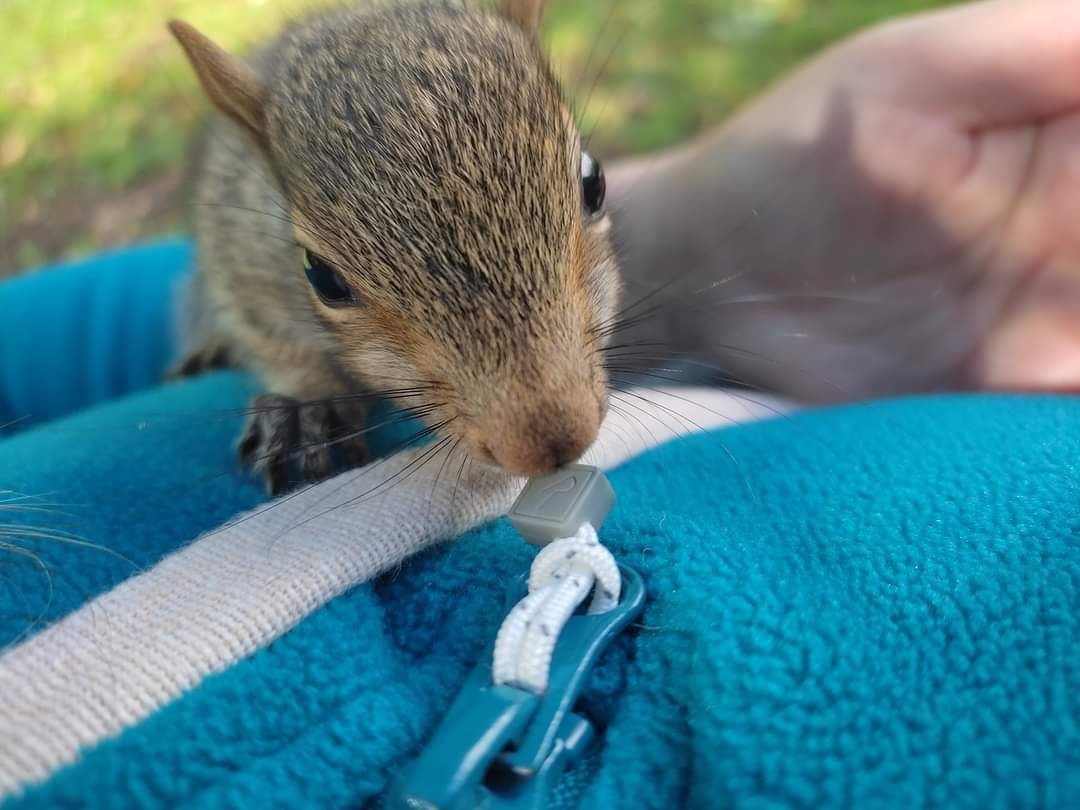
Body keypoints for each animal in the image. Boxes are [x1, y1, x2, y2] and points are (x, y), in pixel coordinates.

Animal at [169, 0, 626, 494]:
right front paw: (308, 405)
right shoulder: (237, 251)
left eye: (593, 182)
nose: (553, 442)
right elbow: (272, 340)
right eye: (321, 276)